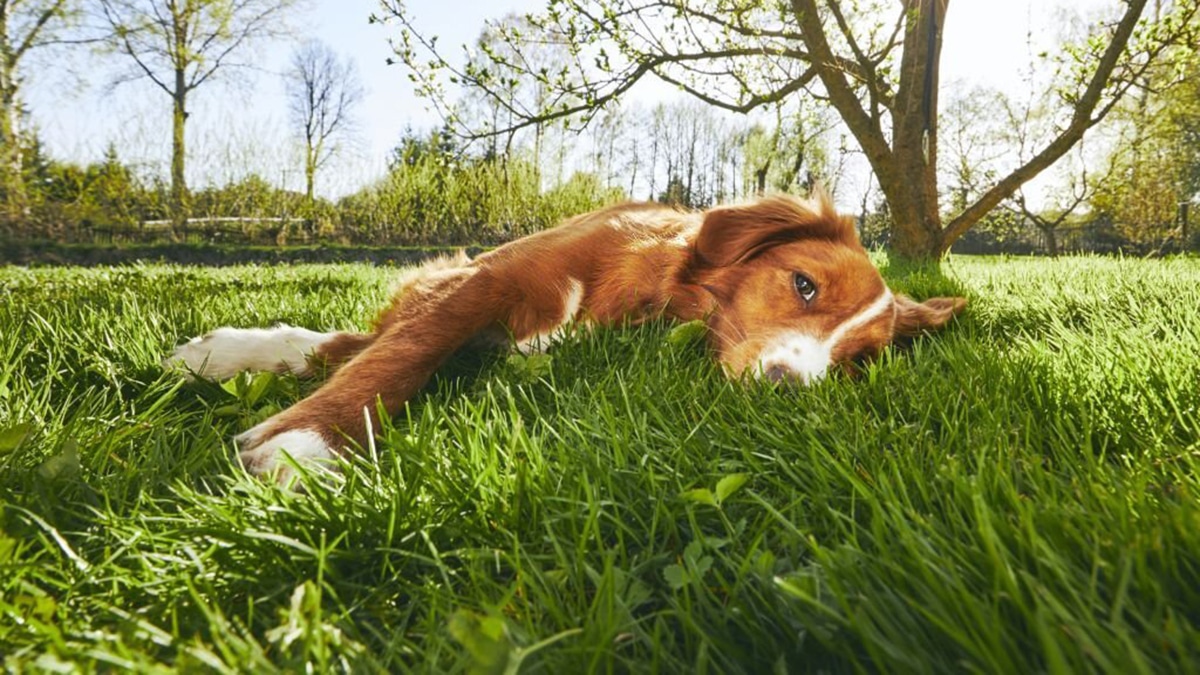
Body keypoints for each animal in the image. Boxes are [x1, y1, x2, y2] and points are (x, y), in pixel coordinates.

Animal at [164, 192, 964, 480]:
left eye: (858, 363)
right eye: (803, 285)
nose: (788, 389)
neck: (649, 284)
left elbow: (383, 350)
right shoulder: (484, 281)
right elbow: (402, 352)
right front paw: (311, 439)